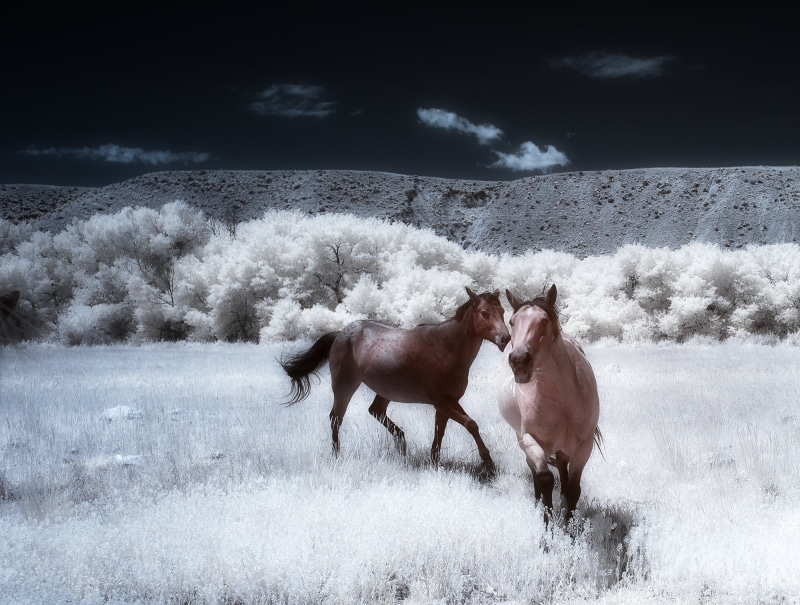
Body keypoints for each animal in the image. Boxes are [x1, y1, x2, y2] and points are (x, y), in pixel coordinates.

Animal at [279, 287, 510, 475]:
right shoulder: (442, 401)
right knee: (336, 418)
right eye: (485, 313)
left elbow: (440, 432)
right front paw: (489, 463)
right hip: (344, 386)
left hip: (385, 390)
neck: (446, 347)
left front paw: (435, 462)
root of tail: (340, 334)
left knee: (375, 410)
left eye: (502, 312)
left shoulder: (446, 403)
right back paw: (337, 455)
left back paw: (401, 443)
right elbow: (471, 424)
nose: (505, 339)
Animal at [496, 284, 602, 526]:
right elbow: (544, 479)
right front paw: (547, 531)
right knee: (534, 470)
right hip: (522, 439)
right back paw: (537, 503)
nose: (518, 361)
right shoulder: (530, 439)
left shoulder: (584, 446)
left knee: (562, 467)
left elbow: (573, 489)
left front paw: (569, 528)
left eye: (544, 321)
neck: (560, 399)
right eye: (512, 321)